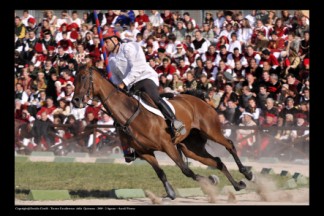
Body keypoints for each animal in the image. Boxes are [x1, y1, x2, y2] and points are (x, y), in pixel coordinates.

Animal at [72, 66, 254, 200]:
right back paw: (238, 185)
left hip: (211, 131)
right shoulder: (145, 152)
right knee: (218, 161)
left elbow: (186, 171)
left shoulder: (168, 146)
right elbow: (161, 173)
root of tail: (200, 99)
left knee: (229, 145)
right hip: (191, 148)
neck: (132, 114)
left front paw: (209, 180)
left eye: (83, 78)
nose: (75, 100)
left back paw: (246, 173)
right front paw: (172, 193)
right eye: (74, 78)